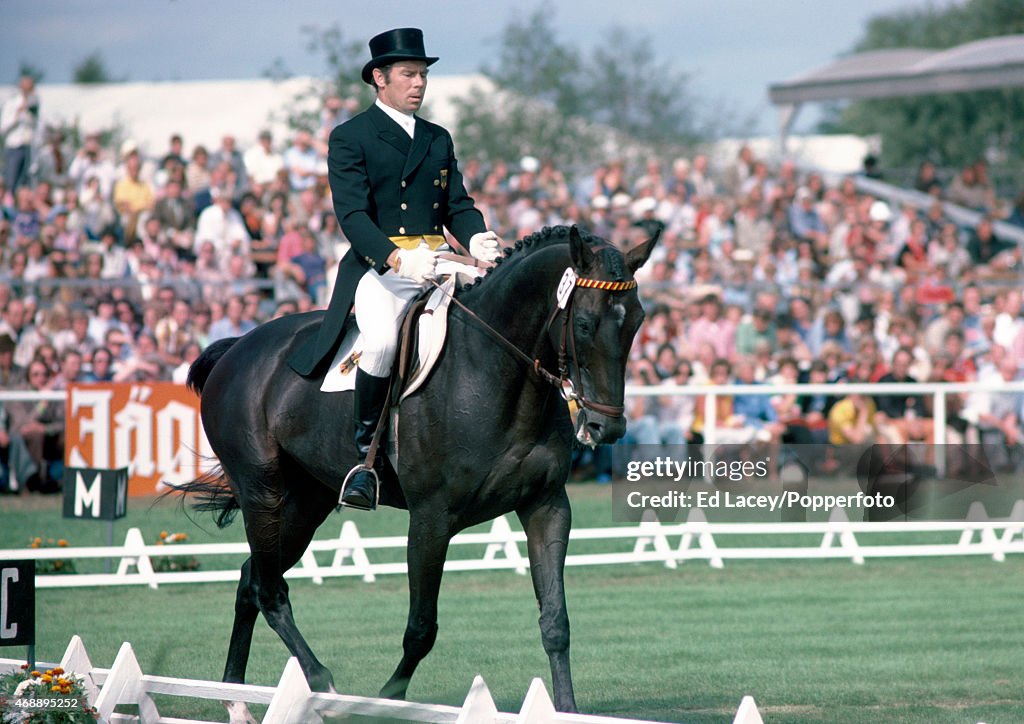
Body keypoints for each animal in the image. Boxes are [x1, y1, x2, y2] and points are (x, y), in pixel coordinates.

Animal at [181, 225, 659, 712]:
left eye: (637, 321)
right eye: (583, 324)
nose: (606, 427)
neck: (494, 370)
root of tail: (237, 348)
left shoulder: (547, 507)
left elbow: (556, 620)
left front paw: (565, 707)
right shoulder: (431, 520)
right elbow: (421, 628)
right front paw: (389, 698)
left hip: (305, 502)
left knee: (252, 578)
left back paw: (236, 697)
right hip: (262, 492)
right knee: (270, 588)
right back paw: (318, 682)